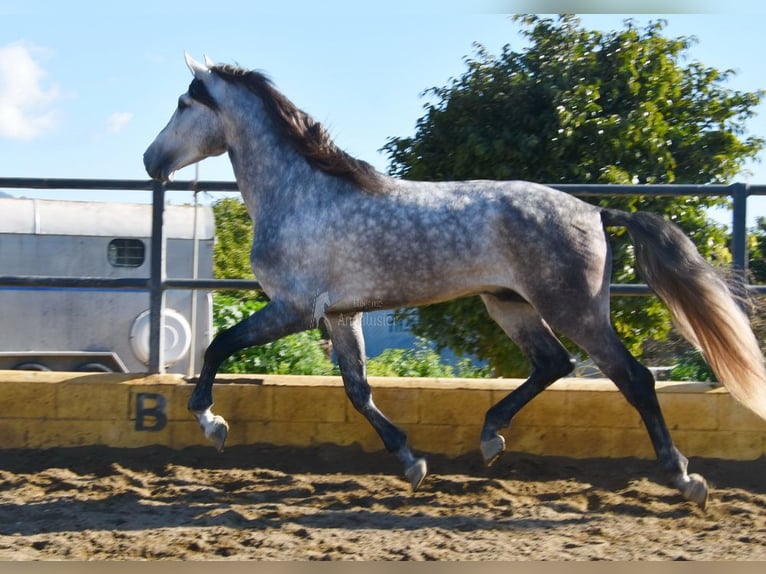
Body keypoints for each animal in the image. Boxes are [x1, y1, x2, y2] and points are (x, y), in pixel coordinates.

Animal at [144, 56, 766, 510]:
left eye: (182, 103)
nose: (151, 160)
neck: (302, 195)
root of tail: (594, 211)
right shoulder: (341, 315)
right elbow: (358, 391)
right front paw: (411, 463)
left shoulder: (294, 308)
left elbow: (219, 346)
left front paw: (212, 424)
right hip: (509, 305)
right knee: (554, 364)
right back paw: (490, 439)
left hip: (573, 309)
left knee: (632, 378)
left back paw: (684, 478)